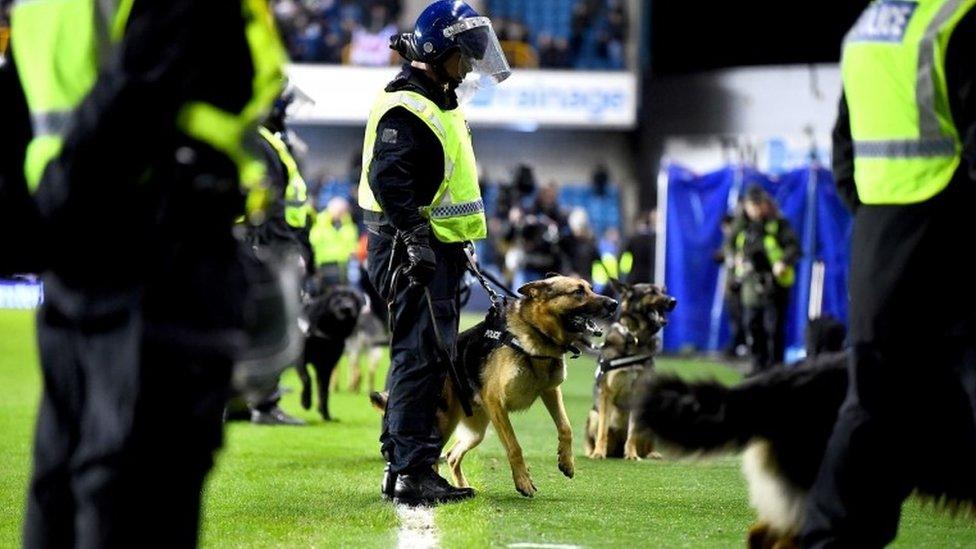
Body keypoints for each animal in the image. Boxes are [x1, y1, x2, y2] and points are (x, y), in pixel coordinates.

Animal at [370, 274, 612, 496]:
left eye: (591, 288)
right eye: (578, 292)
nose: (614, 303)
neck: (534, 332)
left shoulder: (550, 391)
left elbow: (565, 426)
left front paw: (566, 461)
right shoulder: (496, 402)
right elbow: (514, 446)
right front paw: (523, 481)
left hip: (476, 431)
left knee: (451, 456)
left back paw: (462, 487)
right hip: (443, 424)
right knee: (429, 457)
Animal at [584, 280, 676, 460]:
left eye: (663, 291)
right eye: (651, 292)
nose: (673, 301)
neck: (635, 338)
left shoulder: (640, 393)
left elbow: (632, 432)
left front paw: (632, 455)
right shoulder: (606, 393)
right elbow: (603, 430)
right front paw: (599, 453)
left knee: (644, 443)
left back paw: (651, 453)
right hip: (593, 415)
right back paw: (593, 451)